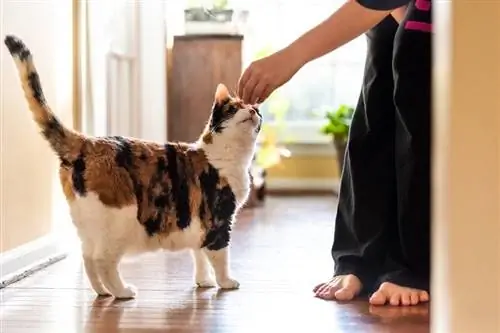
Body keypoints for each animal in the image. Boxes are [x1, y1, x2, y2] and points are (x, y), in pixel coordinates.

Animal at [3, 34, 262, 298]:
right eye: (234, 107)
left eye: (256, 110)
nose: (253, 110)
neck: (228, 155)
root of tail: (88, 142)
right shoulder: (219, 218)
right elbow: (220, 256)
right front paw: (226, 282)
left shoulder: (200, 224)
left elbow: (199, 254)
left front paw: (204, 282)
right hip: (121, 220)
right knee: (103, 260)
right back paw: (122, 291)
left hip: (88, 224)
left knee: (88, 258)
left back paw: (103, 291)